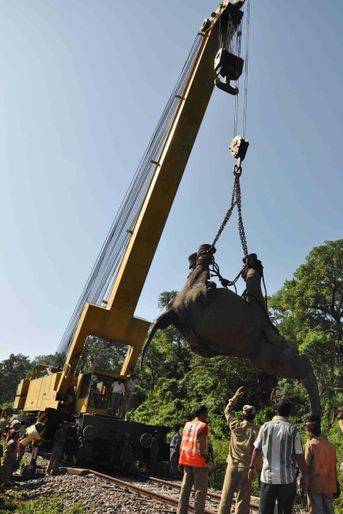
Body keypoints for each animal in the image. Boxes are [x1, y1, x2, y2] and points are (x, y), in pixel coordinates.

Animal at [142, 242, 322, 414]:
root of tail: (172, 312)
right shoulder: (273, 353)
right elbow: (302, 366)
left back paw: (204, 257)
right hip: (200, 301)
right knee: (203, 277)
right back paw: (210, 255)